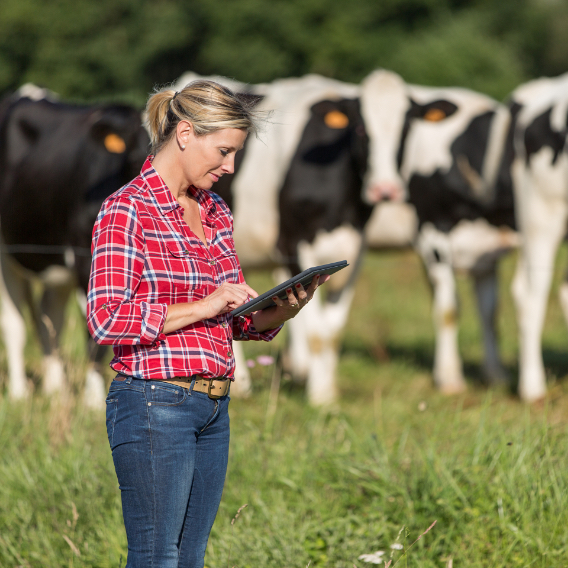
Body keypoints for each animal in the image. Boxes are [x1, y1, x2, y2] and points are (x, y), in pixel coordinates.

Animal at [0, 87, 150, 404]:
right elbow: (95, 332)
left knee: (49, 317)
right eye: (135, 158)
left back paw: (55, 388)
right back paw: (19, 392)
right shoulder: (85, 259)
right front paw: (92, 399)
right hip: (6, 253)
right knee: (14, 323)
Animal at [362, 69, 516, 392]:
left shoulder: (488, 250)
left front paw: (495, 374)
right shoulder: (433, 234)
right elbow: (448, 309)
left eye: (407, 127)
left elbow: (490, 313)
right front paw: (449, 378)